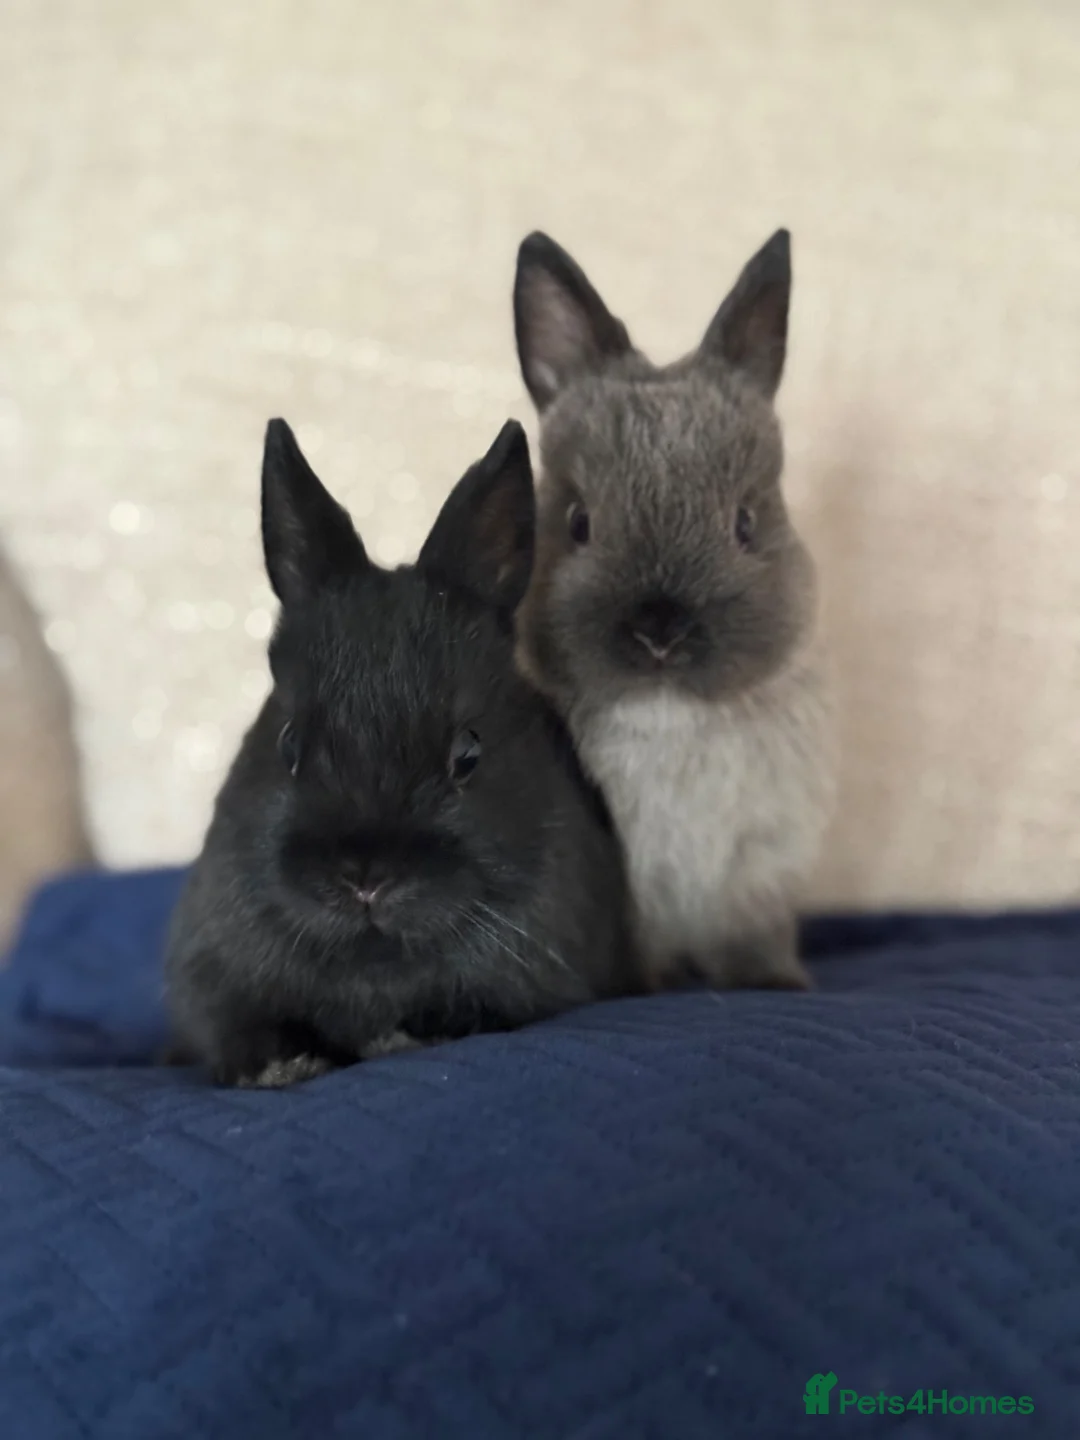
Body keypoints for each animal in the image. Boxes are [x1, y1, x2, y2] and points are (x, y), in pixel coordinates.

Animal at [512, 228, 835, 992]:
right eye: (577, 523)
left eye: (745, 523)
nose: (660, 633)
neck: (671, 720)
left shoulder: (758, 870)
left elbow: (752, 940)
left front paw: (774, 982)